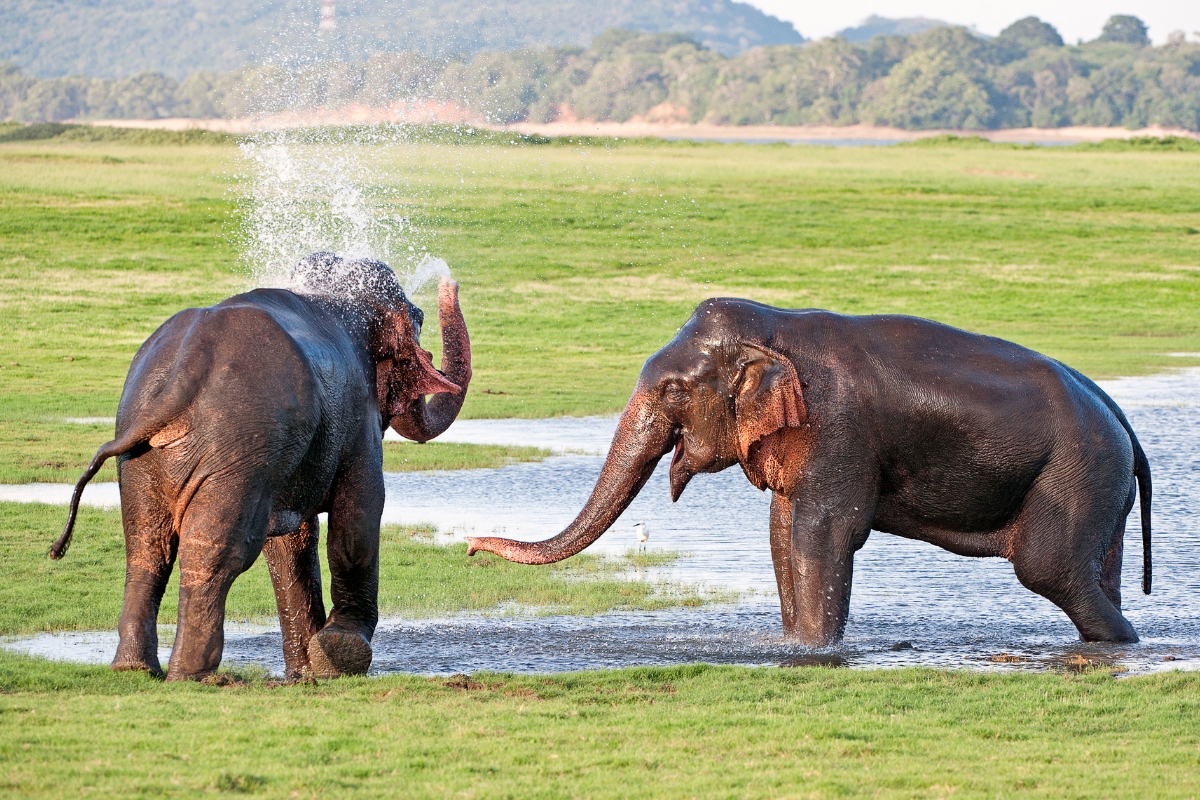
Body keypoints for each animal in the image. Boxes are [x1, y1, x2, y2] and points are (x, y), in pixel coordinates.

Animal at [51, 253, 471, 680]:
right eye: (420, 319)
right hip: (238, 451)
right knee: (219, 548)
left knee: (147, 545)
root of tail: (181, 376)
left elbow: (291, 539)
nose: (448, 280)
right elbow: (359, 515)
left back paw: (134, 669)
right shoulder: (357, 422)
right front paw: (338, 656)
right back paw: (195, 675)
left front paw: (306, 674)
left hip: (143, 454)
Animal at [468, 299, 1152, 647]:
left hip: (1076, 474)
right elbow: (782, 532)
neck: (776, 328)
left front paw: (814, 653)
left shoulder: (837, 426)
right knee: (1094, 568)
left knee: (1048, 568)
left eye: (672, 391)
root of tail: (1122, 420)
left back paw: (1123, 643)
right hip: (1100, 486)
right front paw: (795, 647)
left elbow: (823, 533)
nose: (471, 546)